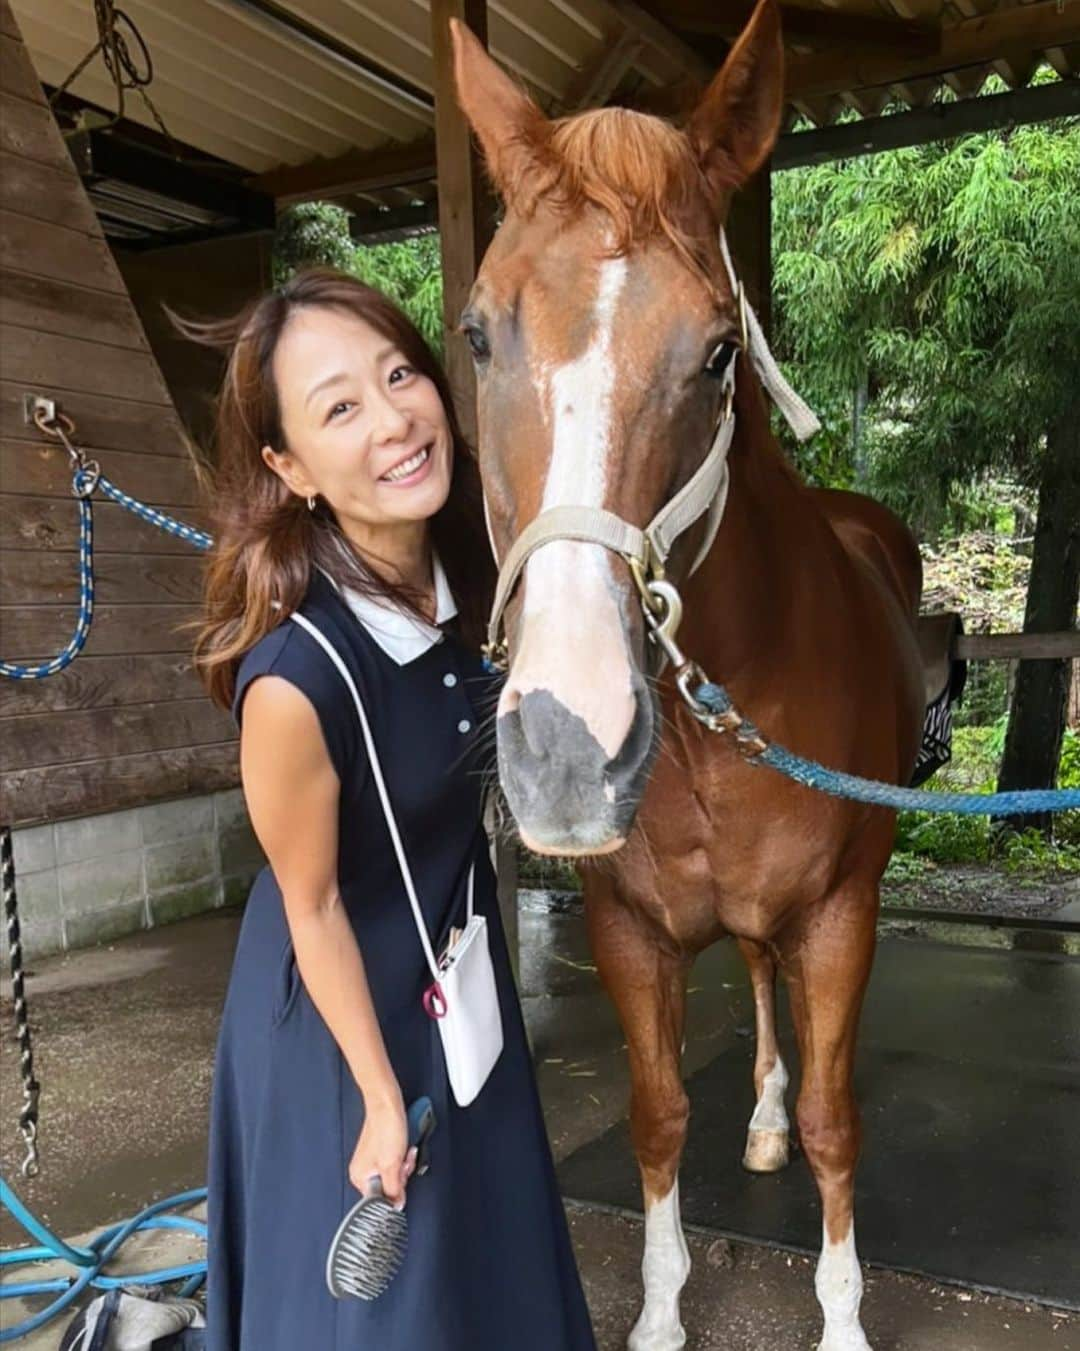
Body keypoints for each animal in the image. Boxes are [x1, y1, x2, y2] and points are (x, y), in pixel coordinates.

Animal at [451, 5, 924, 1345]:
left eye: (719, 352)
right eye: (476, 334)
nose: (567, 745)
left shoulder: (841, 914)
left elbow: (836, 1121)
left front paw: (844, 1318)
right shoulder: (628, 926)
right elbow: (660, 1115)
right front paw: (661, 1312)